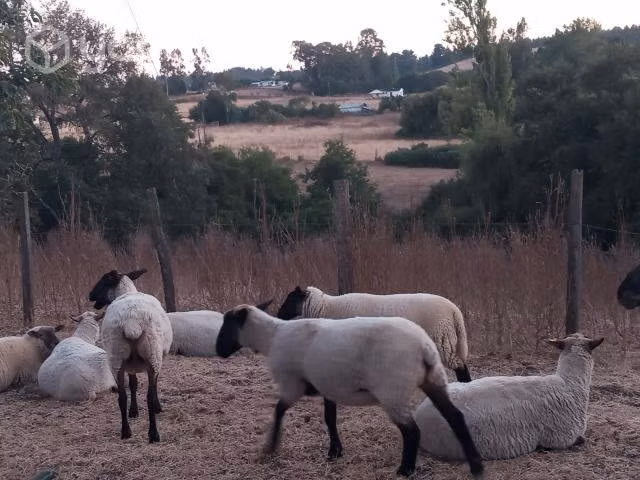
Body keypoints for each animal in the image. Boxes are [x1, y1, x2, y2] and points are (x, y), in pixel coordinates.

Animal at [88, 268, 173, 443]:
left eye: (104, 280)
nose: (90, 296)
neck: (128, 292)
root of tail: (131, 322)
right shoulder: (156, 361)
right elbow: (151, 386)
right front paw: (156, 407)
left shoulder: (130, 366)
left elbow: (133, 385)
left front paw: (133, 411)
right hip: (152, 354)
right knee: (148, 396)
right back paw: (153, 434)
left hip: (116, 358)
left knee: (121, 397)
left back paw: (126, 432)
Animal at [216, 302, 484, 478]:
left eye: (227, 324)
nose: (218, 350)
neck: (271, 338)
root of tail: (424, 347)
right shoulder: (327, 385)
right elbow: (330, 418)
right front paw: (335, 451)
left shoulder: (293, 384)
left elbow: (279, 410)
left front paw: (271, 447)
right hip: (433, 379)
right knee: (455, 417)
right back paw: (476, 466)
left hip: (392, 392)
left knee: (412, 431)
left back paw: (405, 470)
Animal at [277, 286, 472, 382]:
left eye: (291, 298)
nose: (278, 314)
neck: (327, 307)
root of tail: (454, 311)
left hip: (443, 340)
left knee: (461, 367)